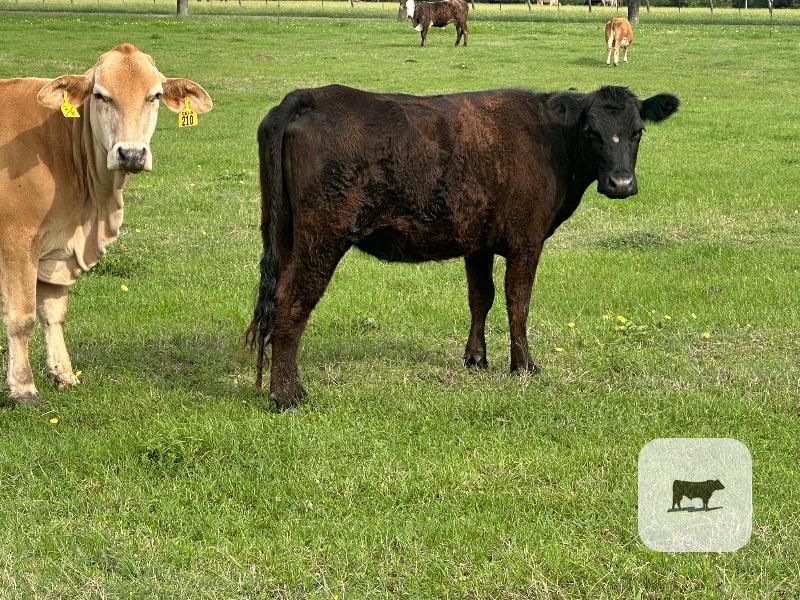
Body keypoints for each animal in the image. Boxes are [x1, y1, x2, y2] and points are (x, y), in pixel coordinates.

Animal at [0, 44, 212, 406]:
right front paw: (23, 388)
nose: (131, 153)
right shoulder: (17, 241)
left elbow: (53, 313)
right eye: (100, 95)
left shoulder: (56, 249)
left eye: (154, 95)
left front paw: (63, 374)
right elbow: (21, 317)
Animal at [246, 84, 679, 409]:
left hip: (283, 231)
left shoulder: (478, 240)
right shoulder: (526, 239)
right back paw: (288, 396)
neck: (549, 141)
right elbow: (518, 300)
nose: (621, 183)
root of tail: (308, 96)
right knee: (292, 301)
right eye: (592, 132)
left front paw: (476, 359)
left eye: (638, 131)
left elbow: (480, 297)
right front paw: (524, 366)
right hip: (322, 236)